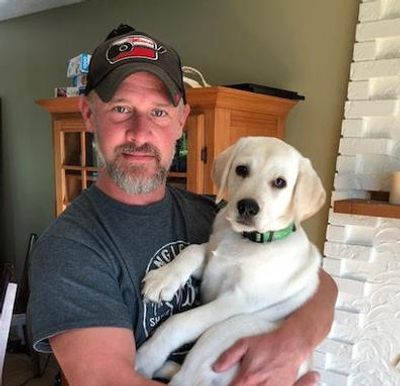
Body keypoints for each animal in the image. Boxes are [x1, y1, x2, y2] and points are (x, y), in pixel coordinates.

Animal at [136, 137, 326, 384]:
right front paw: (163, 279)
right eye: (242, 169)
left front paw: (148, 355)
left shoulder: (236, 301)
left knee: (184, 377)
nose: (247, 206)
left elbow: (179, 322)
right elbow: (193, 251)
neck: (247, 240)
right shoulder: (210, 266)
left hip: (223, 332)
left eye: (280, 182)